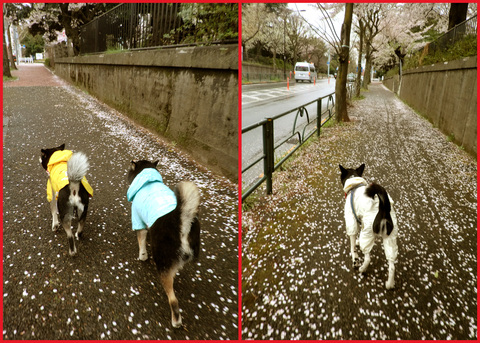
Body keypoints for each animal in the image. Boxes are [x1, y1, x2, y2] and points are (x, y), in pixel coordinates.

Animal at [126, 160, 200, 330]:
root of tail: (181, 221)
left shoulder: (138, 220)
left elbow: (141, 242)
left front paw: (142, 256)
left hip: (162, 260)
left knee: (173, 300)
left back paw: (176, 321)